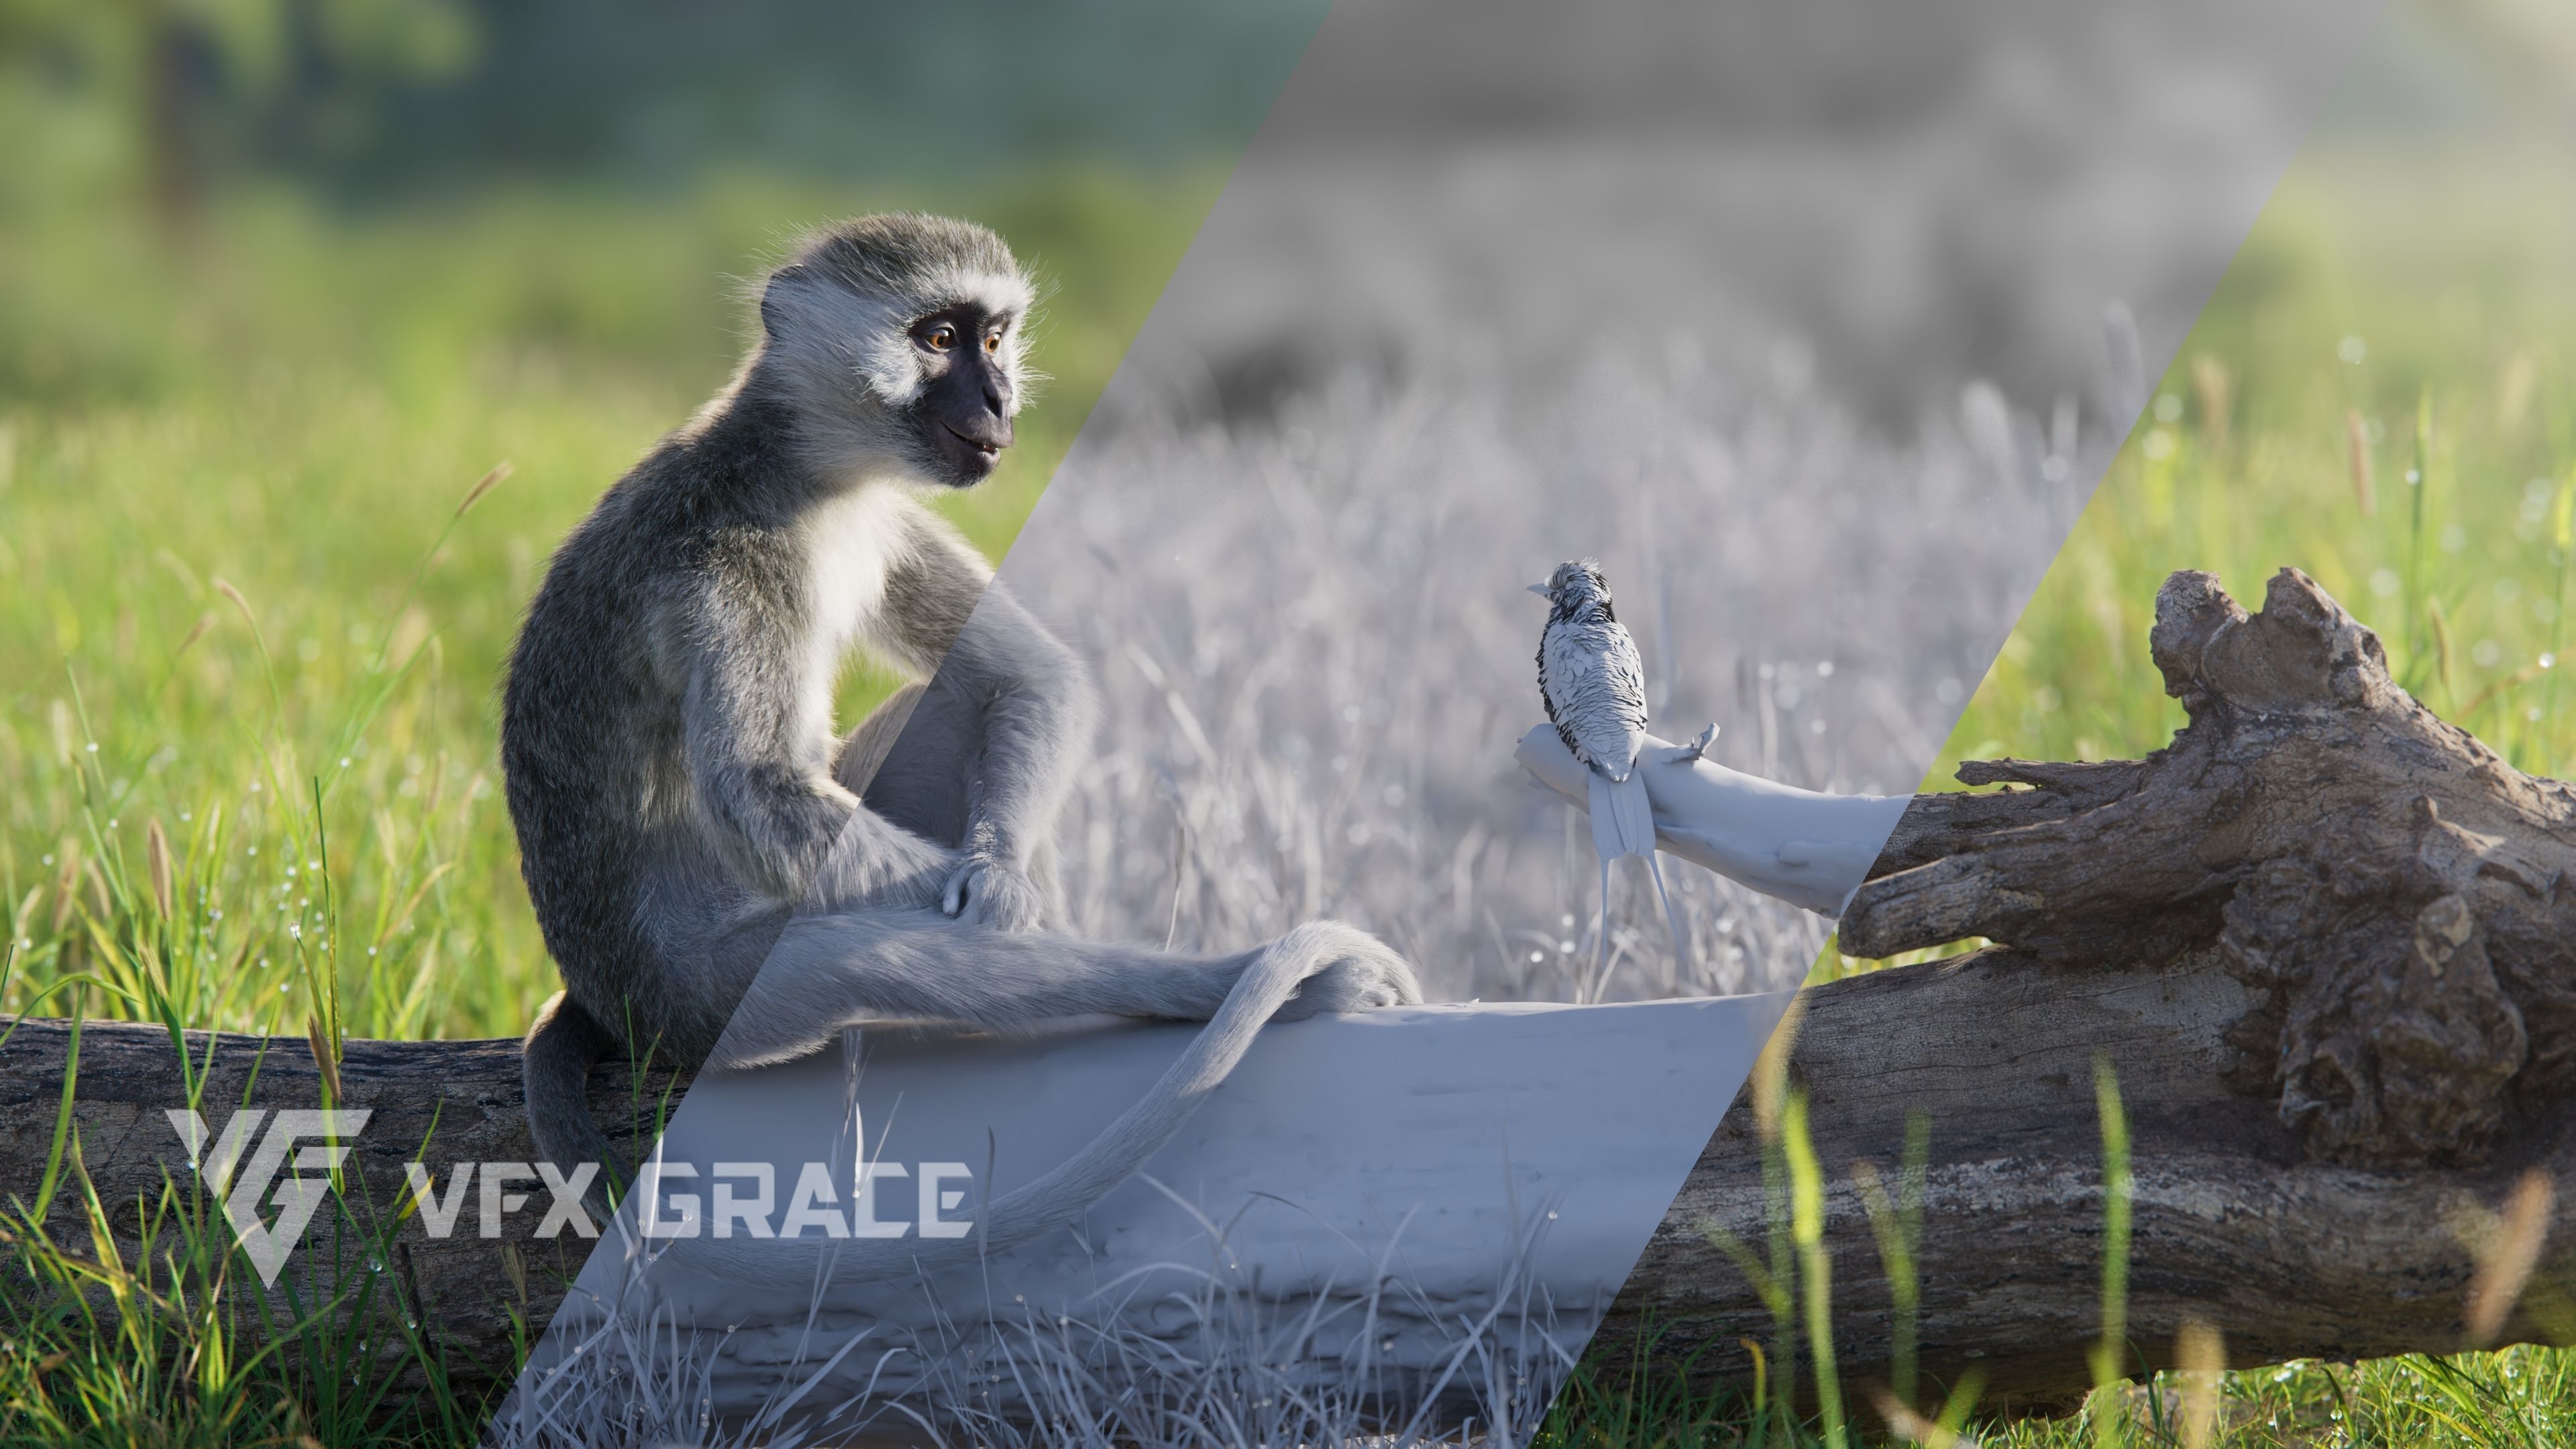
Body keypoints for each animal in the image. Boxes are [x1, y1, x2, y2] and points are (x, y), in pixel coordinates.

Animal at [500, 214, 1419, 1261]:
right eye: (937, 339)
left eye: (995, 337)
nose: (999, 398)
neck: (802, 472)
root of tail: (605, 989)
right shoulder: (733, 565)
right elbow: (761, 788)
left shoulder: (888, 516)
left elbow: (1028, 676)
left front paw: (1006, 878)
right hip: (709, 999)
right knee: (887, 961)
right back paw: (1255, 985)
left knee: (948, 716)